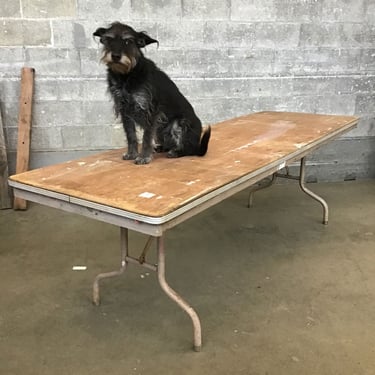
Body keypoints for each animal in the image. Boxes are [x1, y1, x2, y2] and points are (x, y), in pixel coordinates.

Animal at [93, 22, 212, 164]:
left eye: (128, 41)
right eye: (108, 39)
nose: (116, 56)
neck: (126, 75)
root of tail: (198, 145)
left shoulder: (149, 109)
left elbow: (146, 137)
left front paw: (144, 156)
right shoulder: (124, 111)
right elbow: (131, 135)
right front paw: (132, 153)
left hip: (178, 124)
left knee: (189, 149)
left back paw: (176, 152)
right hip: (160, 129)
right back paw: (161, 148)